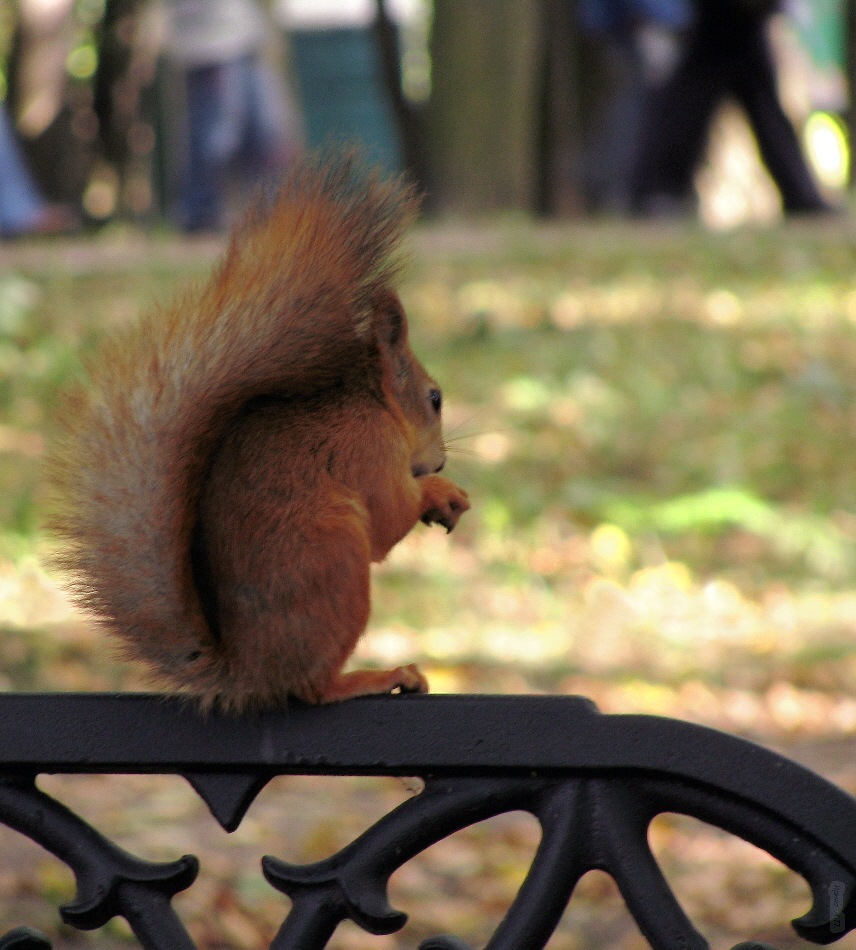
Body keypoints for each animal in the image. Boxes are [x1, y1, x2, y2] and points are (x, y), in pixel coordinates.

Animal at [46, 156, 468, 712]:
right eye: (434, 399)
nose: (438, 462)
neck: (376, 407)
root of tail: (250, 673)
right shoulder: (368, 451)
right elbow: (387, 518)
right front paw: (440, 492)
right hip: (335, 567)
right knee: (310, 688)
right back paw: (375, 677)